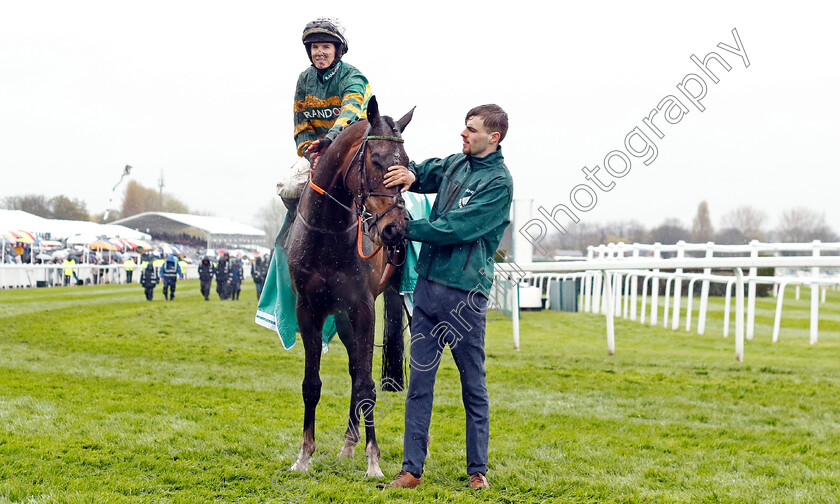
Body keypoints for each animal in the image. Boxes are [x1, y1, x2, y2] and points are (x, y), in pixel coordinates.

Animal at [286, 94, 414, 476]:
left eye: (407, 164)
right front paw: (304, 455)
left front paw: (374, 461)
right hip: (342, 318)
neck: (328, 232)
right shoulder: (308, 310)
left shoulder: (364, 307)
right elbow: (312, 383)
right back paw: (347, 445)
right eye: (376, 159)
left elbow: (368, 385)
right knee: (355, 368)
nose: (395, 228)